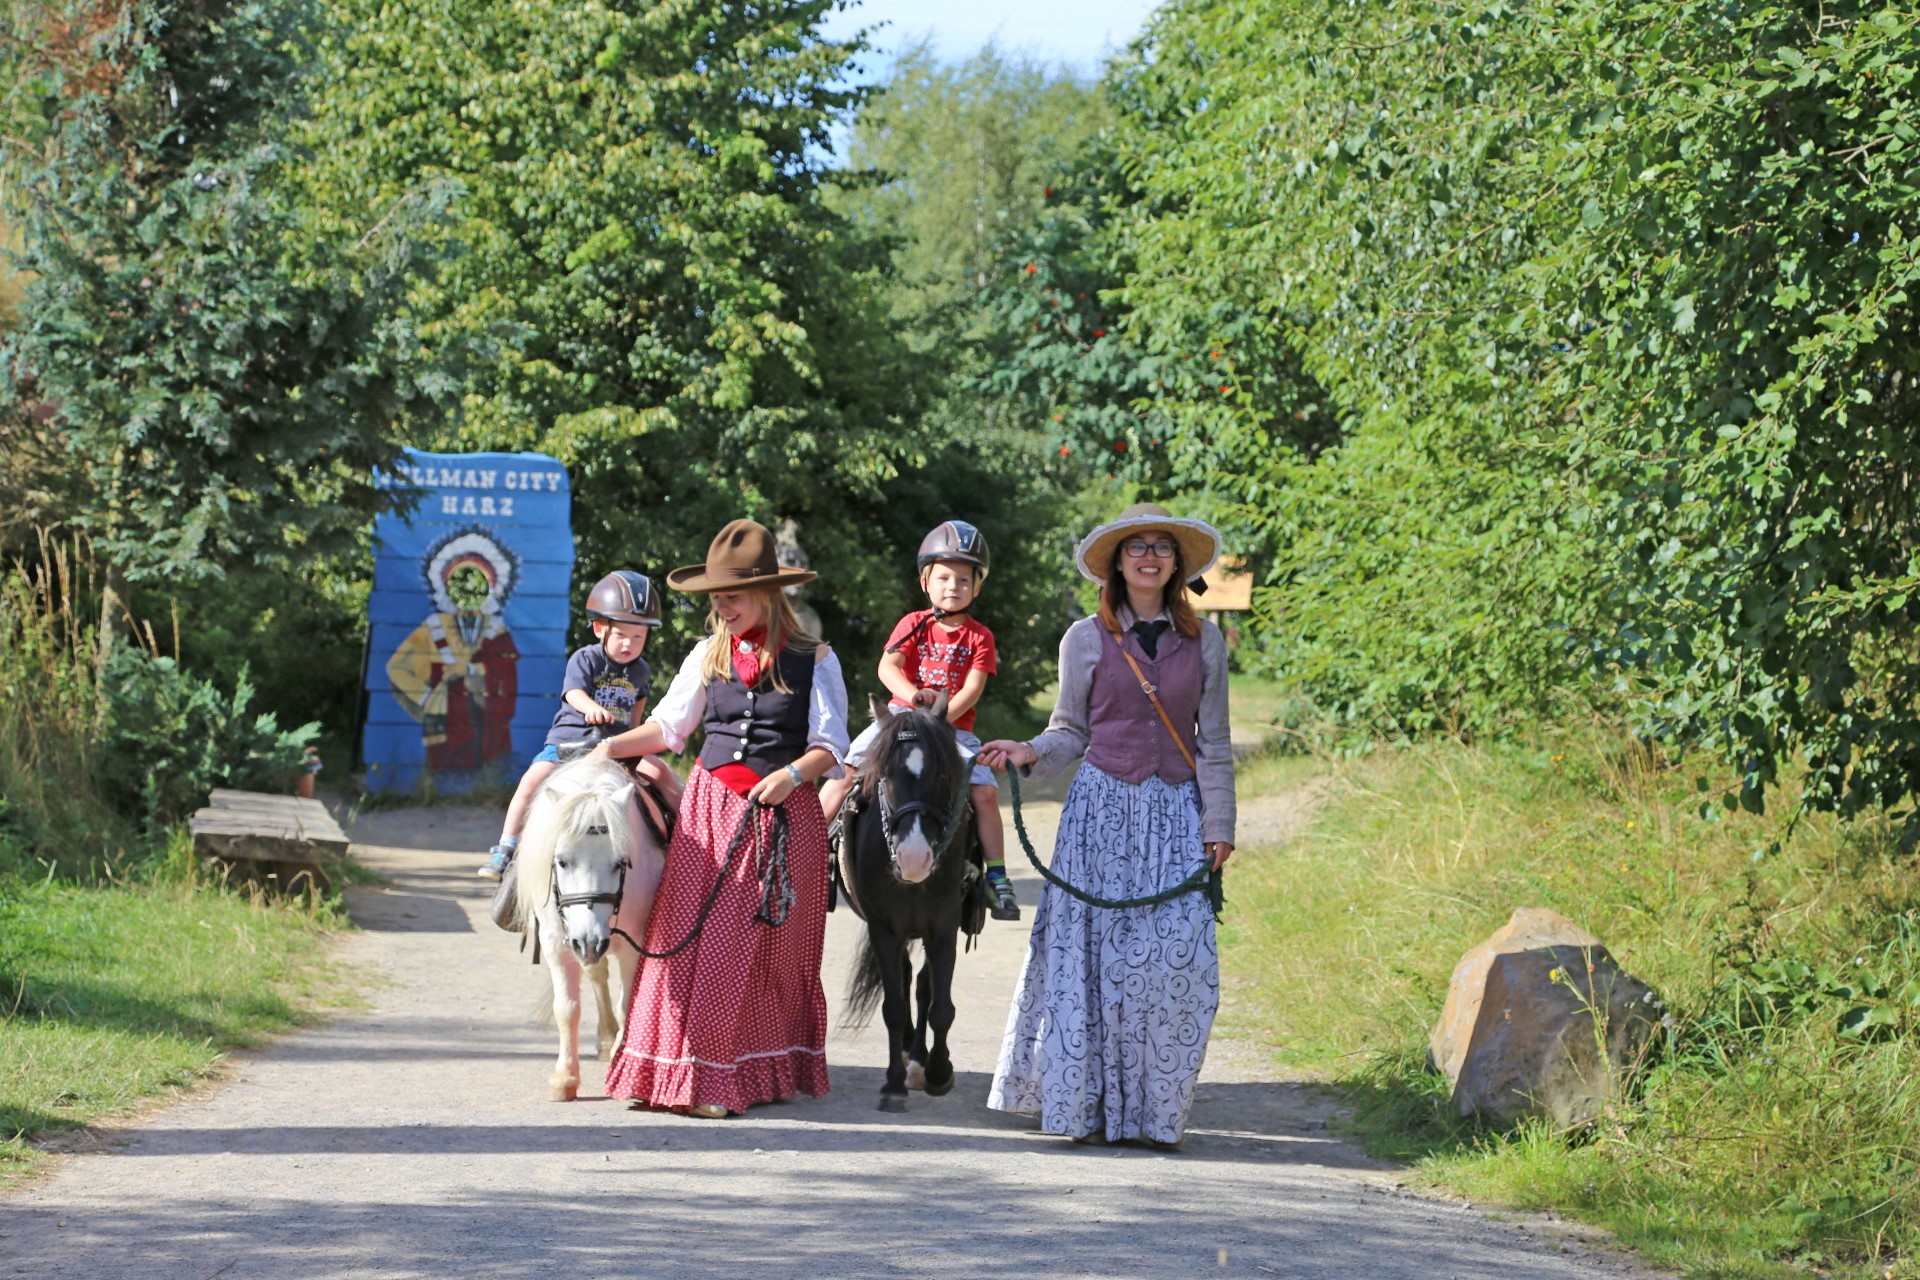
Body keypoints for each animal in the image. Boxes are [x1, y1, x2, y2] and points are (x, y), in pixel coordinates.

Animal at [514, 759, 672, 1105]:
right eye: (561, 861)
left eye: (620, 862)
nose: (588, 941)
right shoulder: (556, 942)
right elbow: (566, 1009)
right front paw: (565, 1078)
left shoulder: (634, 943)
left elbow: (629, 1004)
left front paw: (619, 1062)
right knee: (597, 976)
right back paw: (605, 1038)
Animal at [840, 690, 983, 1113]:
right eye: (885, 777)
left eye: (943, 776)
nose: (914, 858)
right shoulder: (885, 929)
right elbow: (894, 1006)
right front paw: (893, 1085)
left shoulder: (944, 928)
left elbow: (940, 1006)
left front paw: (938, 1071)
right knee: (905, 983)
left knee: (921, 986)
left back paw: (919, 1062)